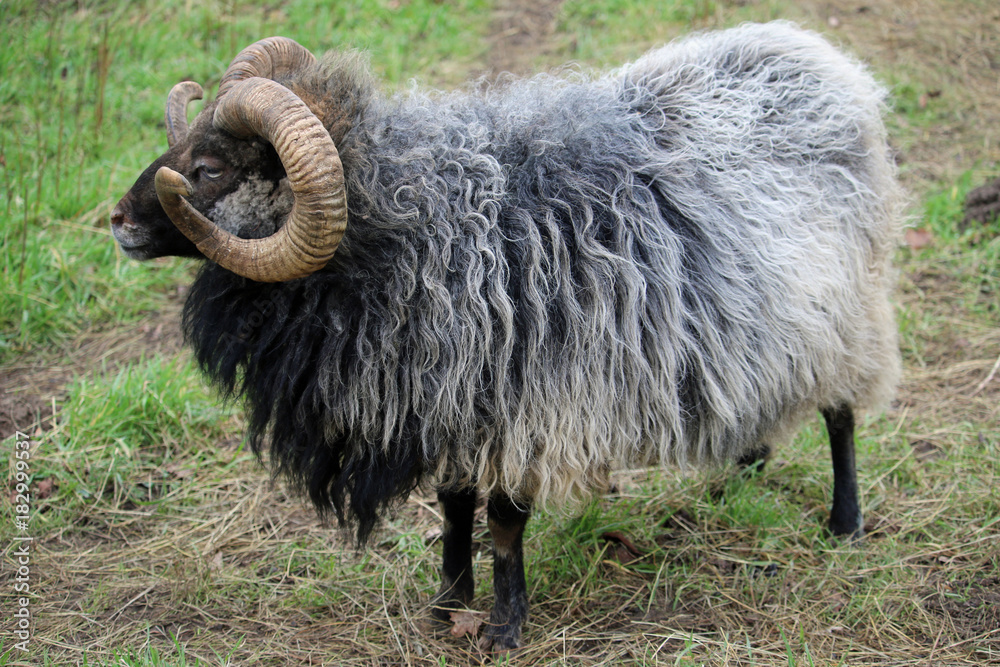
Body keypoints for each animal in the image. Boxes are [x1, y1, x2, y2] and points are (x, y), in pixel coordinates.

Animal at [111, 22, 903, 651]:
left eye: (209, 167)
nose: (116, 221)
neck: (415, 227)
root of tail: (818, 54)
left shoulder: (532, 404)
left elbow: (503, 520)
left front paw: (504, 625)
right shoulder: (453, 394)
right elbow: (456, 503)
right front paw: (447, 603)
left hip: (851, 309)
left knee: (842, 413)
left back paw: (845, 522)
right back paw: (745, 461)